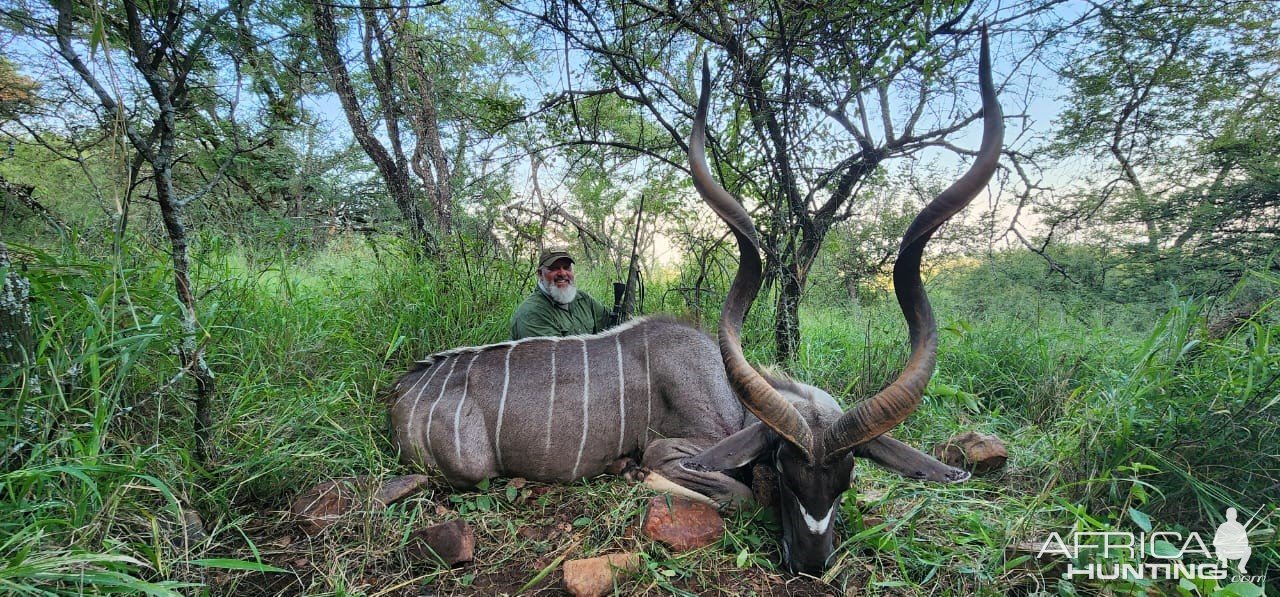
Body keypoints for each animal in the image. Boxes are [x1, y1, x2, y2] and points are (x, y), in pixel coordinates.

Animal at [389, 31, 998, 573]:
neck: (720, 390)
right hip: (469, 470)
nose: (809, 564)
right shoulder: (674, 451)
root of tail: (404, 390)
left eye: (845, 479)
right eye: (785, 470)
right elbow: (731, 492)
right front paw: (636, 475)